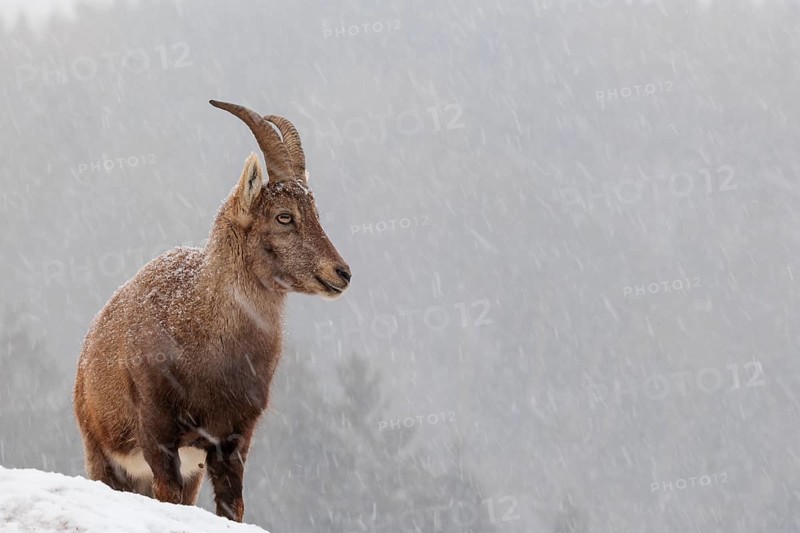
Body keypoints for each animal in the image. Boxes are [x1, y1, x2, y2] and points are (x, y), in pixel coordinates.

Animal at [73, 100, 351, 522]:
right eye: (284, 215)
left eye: (316, 212)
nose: (342, 273)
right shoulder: (157, 430)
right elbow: (167, 495)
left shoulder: (233, 436)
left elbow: (233, 505)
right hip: (100, 448)